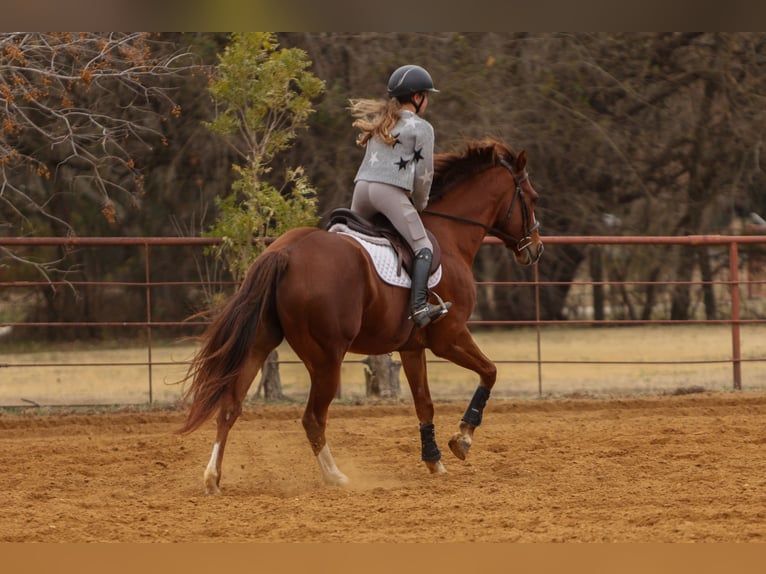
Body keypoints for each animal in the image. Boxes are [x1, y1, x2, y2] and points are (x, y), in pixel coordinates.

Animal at [179, 138, 544, 494]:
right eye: (532, 197)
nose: (536, 248)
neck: (450, 235)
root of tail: (285, 252)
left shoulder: (412, 347)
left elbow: (424, 402)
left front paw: (434, 461)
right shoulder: (450, 337)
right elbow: (490, 372)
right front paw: (463, 438)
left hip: (260, 343)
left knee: (230, 405)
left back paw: (213, 478)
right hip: (326, 359)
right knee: (312, 418)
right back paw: (335, 477)